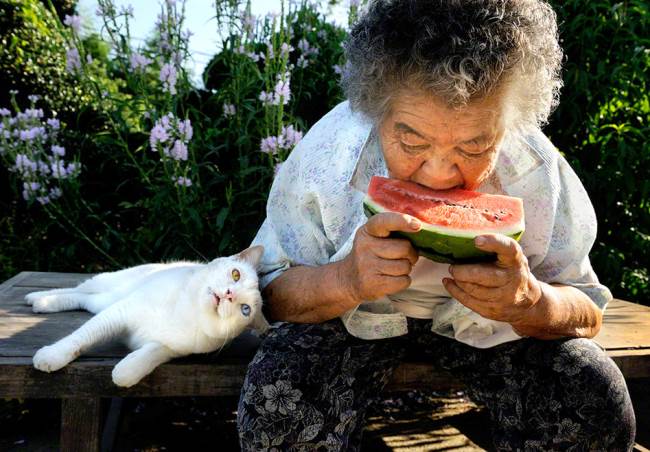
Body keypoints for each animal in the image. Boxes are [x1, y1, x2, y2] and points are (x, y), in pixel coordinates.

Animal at [22, 245, 266, 386]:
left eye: (245, 309)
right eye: (236, 274)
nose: (229, 294)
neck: (189, 311)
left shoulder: (168, 348)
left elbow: (145, 359)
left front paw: (123, 372)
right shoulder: (120, 312)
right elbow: (81, 337)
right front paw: (52, 356)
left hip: (103, 301)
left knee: (83, 298)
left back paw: (40, 302)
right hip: (110, 287)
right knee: (79, 289)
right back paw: (38, 298)